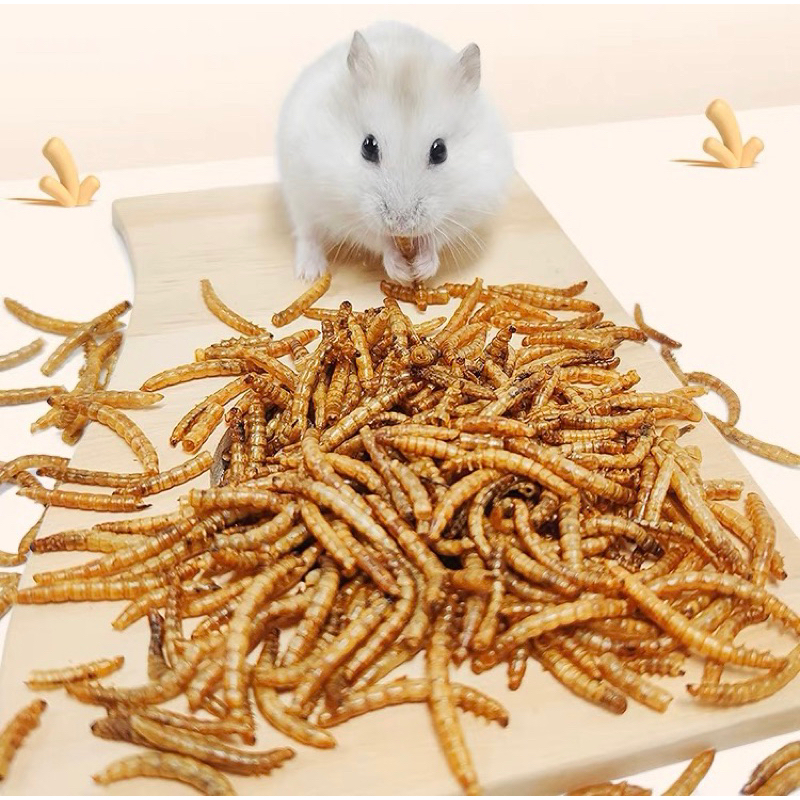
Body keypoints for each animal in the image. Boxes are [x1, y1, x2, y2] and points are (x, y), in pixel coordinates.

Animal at [276, 21, 514, 283]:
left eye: (440, 151)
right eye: (368, 146)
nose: (402, 225)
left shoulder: (469, 204)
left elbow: (435, 237)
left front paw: (420, 270)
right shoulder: (343, 208)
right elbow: (378, 239)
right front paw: (401, 272)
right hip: (300, 200)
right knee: (307, 235)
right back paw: (310, 274)